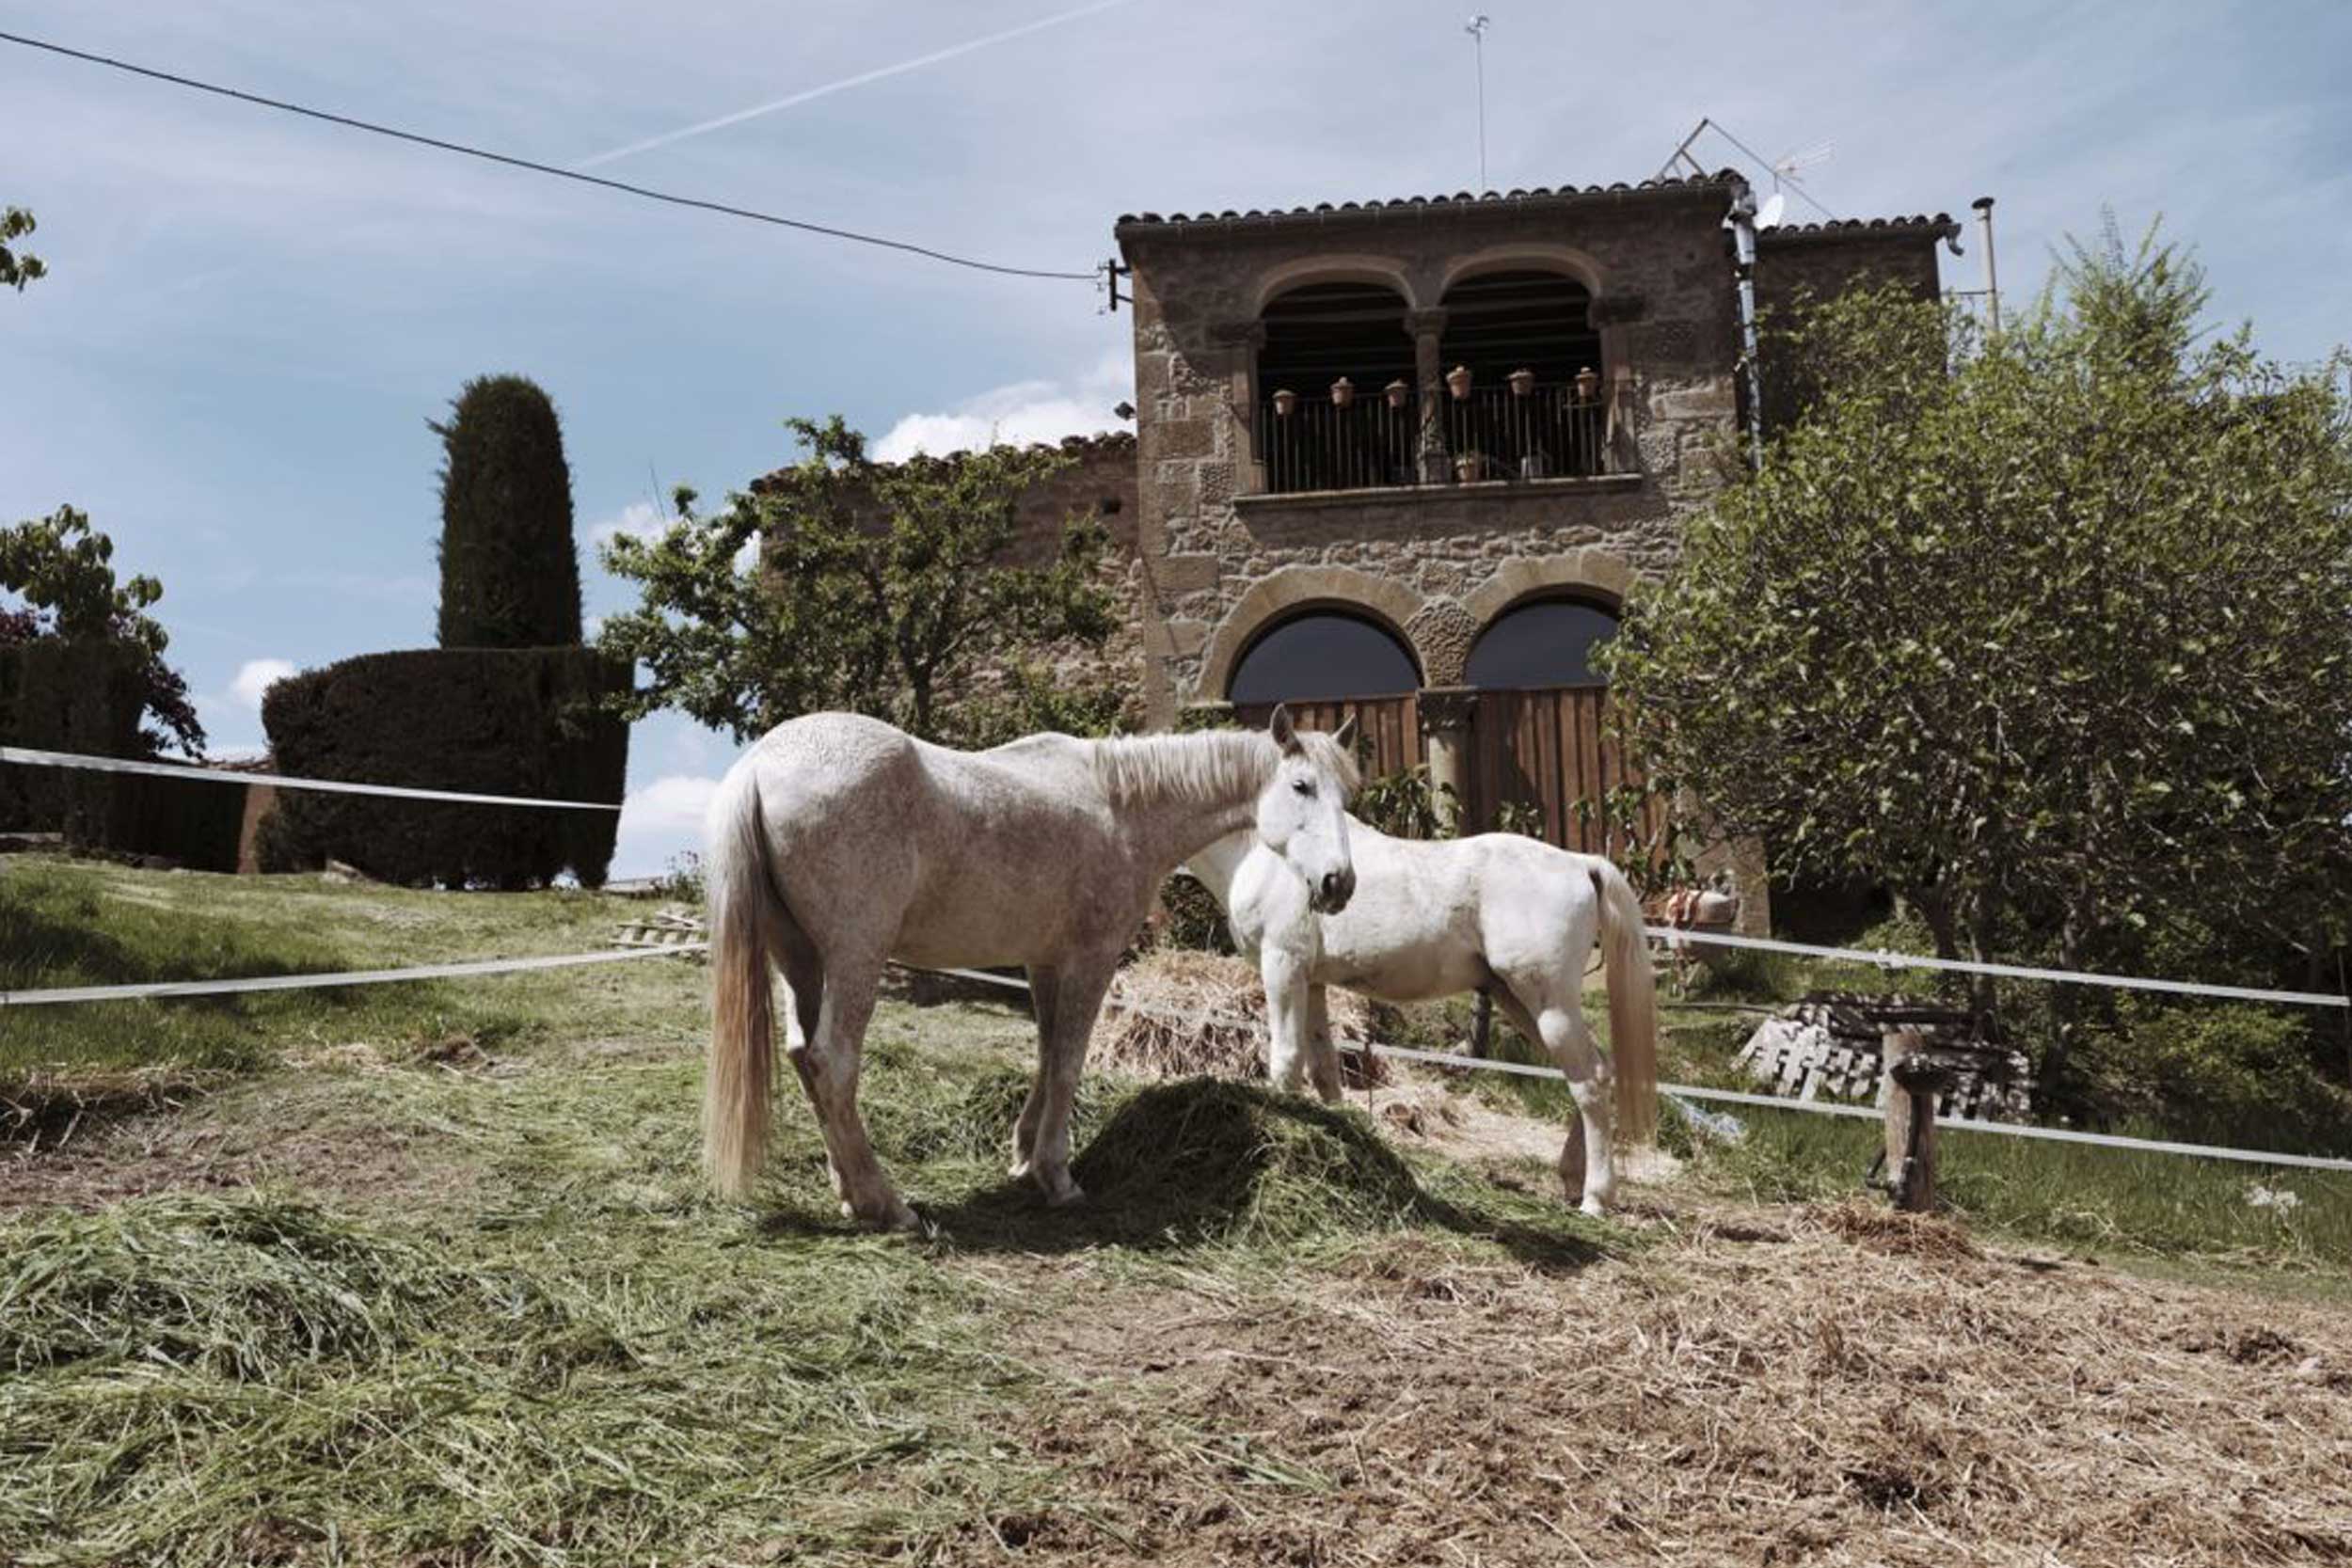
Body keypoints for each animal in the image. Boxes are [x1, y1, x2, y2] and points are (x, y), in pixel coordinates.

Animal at [696, 705, 1364, 1231]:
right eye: (1301, 786)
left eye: (1346, 796)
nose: (1340, 884)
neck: (1121, 808)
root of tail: (759, 767)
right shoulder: (1091, 959)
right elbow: (1068, 1062)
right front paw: (1057, 1177)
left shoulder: (1045, 961)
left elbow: (1045, 1055)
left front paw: (1022, 1156)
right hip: (855, 957)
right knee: (832, 1063)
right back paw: (887, 1205)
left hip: (801, 961)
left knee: (803, 1058)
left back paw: (848, 1192)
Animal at [1185, 822, 1665, 1212]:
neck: (1265, 851)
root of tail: (1580, 864)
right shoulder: (1313, 983)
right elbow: (1325, 1073)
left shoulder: (1283, 969)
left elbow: (1286, 1063)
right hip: (1518, 1000)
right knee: (1592, 1070)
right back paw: (1570, 1179)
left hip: (1549, 1005)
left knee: (1589, 1080)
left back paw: (1595, 1198)